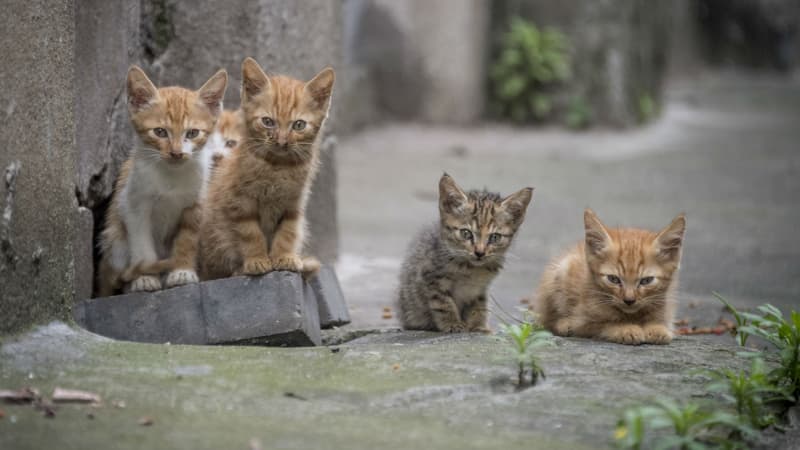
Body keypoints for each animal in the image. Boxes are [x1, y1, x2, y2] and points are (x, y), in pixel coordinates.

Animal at [99, 64, 228, 296]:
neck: (171, 177)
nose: (176, 153)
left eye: (192, 133)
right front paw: (145, 277)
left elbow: (187, 239)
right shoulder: (133, 204)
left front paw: (182, 271)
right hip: (114, 241)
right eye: (160, 132)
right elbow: (141, 245)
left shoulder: (195, 204)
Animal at [203, 58, 338, 280]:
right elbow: (250, 233)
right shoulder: (240, 203)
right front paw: (257, 260)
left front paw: (284, 257)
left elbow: (288, 232)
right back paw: (238, 269)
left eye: (299, 125)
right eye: (268, 122)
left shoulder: (294, 204)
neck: (277, 166)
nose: (282, 141)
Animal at [398, 174, 536, 332]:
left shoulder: (479, 289)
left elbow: (479, 306)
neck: (472, 270)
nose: (480, 252)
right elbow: (443, 303)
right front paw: (453, 323)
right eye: (466, 233)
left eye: (495, 237)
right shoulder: (430, 276)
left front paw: (478, 326)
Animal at [536, 209, 684, 346]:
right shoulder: (582, 321)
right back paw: (563, 323)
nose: (629, 300)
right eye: (613, 279)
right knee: (547, 319)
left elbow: (661, 321)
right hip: (561, 271)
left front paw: (657, 328)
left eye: (646, 280)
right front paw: (626, 329)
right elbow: (605, 324)